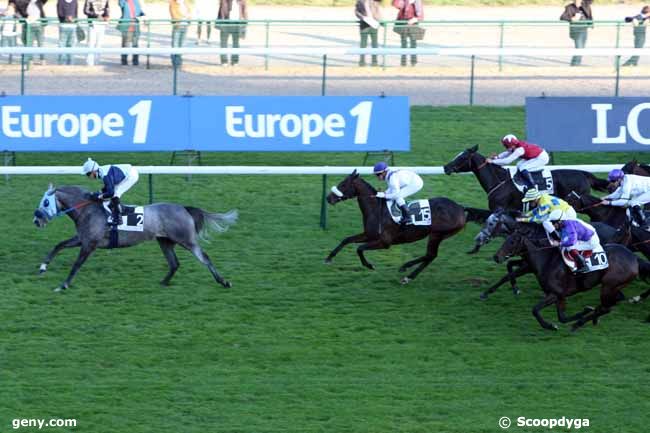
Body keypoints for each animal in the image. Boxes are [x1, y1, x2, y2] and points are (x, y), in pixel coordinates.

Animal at [31, 184, 237, 292]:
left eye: (46, 202)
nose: (36, 220)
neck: (88, 209)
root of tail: (183, 208)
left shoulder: (90, 244)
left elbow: (76, 264)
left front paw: (63, 285)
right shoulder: (82, 239)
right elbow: (58, 246)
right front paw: (42, 267)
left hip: (186, 240)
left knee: (204, 258)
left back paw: (223, 281)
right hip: (165, 241)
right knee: (174, 263)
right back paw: (164, 282)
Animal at [324, 170, 466, 286]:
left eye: (343, 184)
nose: (328, 198)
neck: (376, 209)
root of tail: (460, 208)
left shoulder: (385, 242)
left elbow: (359, 248)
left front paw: (369, 265)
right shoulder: (369, 235)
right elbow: (346, 240)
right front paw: (328, 258)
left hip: (436, 234)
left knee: (430, 255)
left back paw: (405, 269)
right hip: (438, 235)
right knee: (430, 256)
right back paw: (408, 275)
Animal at [494, 223, 644, 330]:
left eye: (512, 242)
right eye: (505, 240)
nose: (496, 257)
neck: (545, 260)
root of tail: (634, 258)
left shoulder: (555, 293)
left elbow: (535, 310)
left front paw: (550, 326)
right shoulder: (559, 295)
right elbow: (562, 317)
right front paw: (584, 311)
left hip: (609, 285)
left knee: (606, 307)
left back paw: (580, 323)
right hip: (614, 286)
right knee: (609, 304)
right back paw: (589, 319)